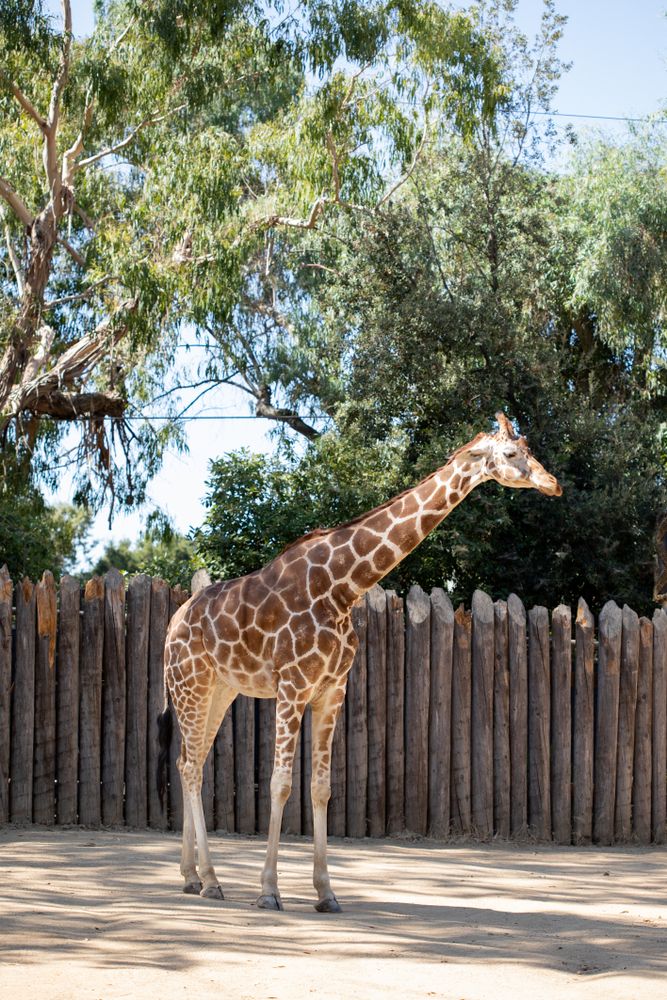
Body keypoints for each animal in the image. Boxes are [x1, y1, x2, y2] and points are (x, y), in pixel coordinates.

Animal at [157, 412, 562, 912]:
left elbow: (321, 787)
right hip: (190, 684)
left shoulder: (332, 689)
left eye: (529, 449)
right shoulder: (293, 686)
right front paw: (269, 891)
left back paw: (192, 876)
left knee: (187, 763)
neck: (343, 586)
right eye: (509, 454)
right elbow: (280, 783)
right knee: (192, 767)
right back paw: (211, 880)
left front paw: (326, 892)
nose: (553, 483)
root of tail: (172, 626)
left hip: (221, 689)